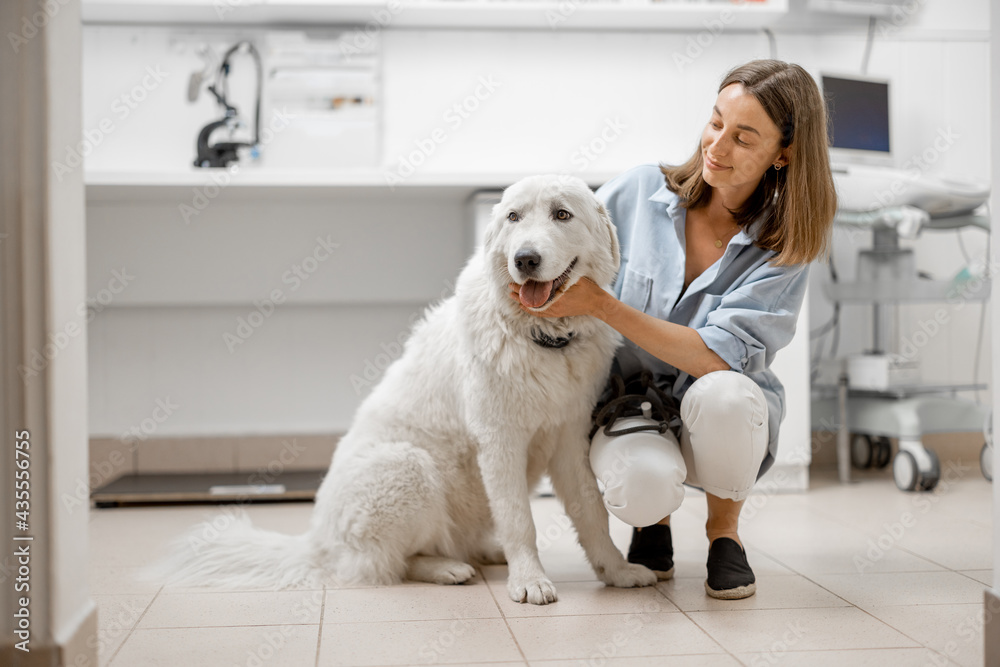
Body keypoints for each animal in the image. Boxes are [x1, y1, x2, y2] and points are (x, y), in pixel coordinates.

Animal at [156, 175, 656, 604]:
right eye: (514, 217)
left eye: (561, 214)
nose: (525, 259)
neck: (541, 338)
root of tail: (317, 543)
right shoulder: (500, 441)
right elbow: (520, 520)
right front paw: (530, 581)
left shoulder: (569, 438)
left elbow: (591, 513)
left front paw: (616, 571)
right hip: (408, 466)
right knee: (387, 564)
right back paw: (448, 568)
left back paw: (486, 553)